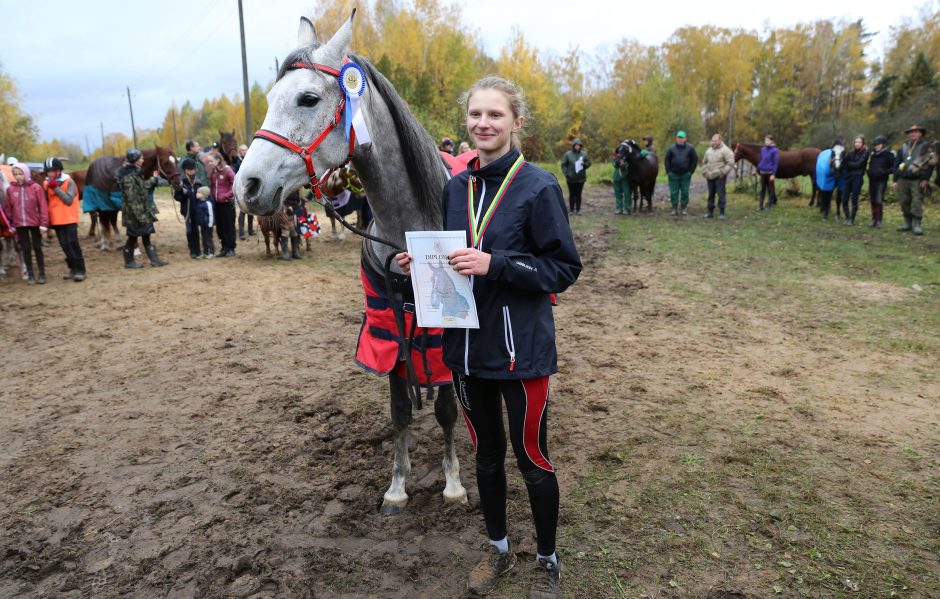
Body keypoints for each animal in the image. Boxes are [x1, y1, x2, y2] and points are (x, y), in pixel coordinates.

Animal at [233, 10, 468, 516]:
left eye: (308, 98)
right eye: (270, 99)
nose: (247, 186)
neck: (407, 231)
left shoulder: (443, 328)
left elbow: (444, 410)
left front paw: (453, 483)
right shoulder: (390, 326)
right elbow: (401, 410)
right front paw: (397, 487)